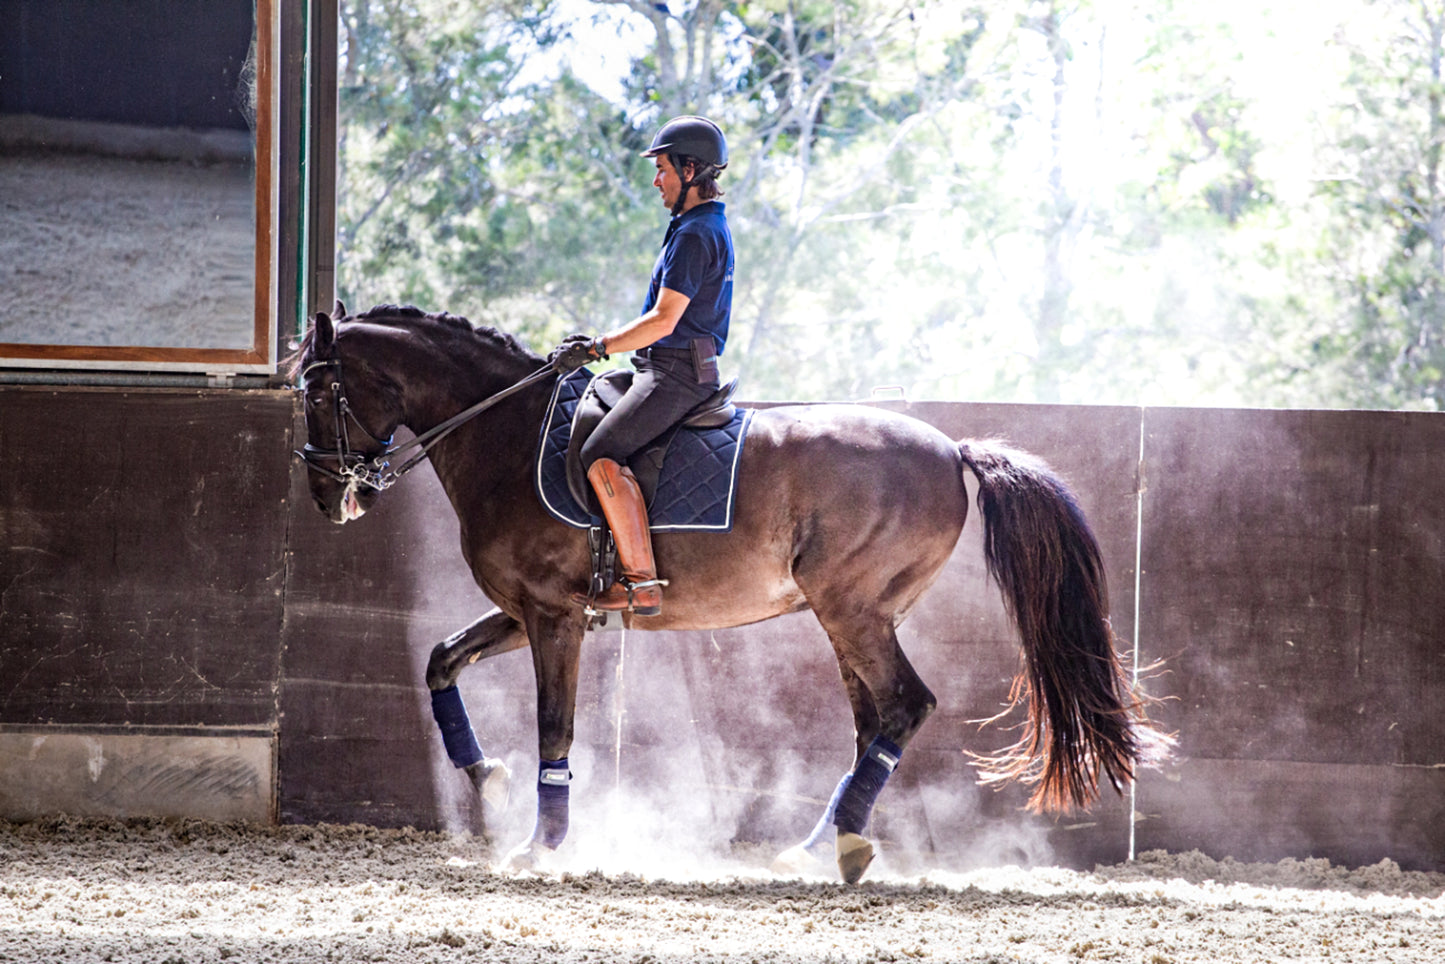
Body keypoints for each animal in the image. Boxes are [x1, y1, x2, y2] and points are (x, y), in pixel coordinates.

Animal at [296, 302, 1173, 884]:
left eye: (315, 392)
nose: (327, 498)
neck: (506, 437)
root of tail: (951, 449)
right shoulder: (530, 611)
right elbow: (442, 660)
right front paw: (487, 779)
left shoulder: (552, 617)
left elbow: (555, 726)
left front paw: (540, 844)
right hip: (852, 616)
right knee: (874, 723)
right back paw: (825, 847)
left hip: (850, 608)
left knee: (903, 705)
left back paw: (833, 845)